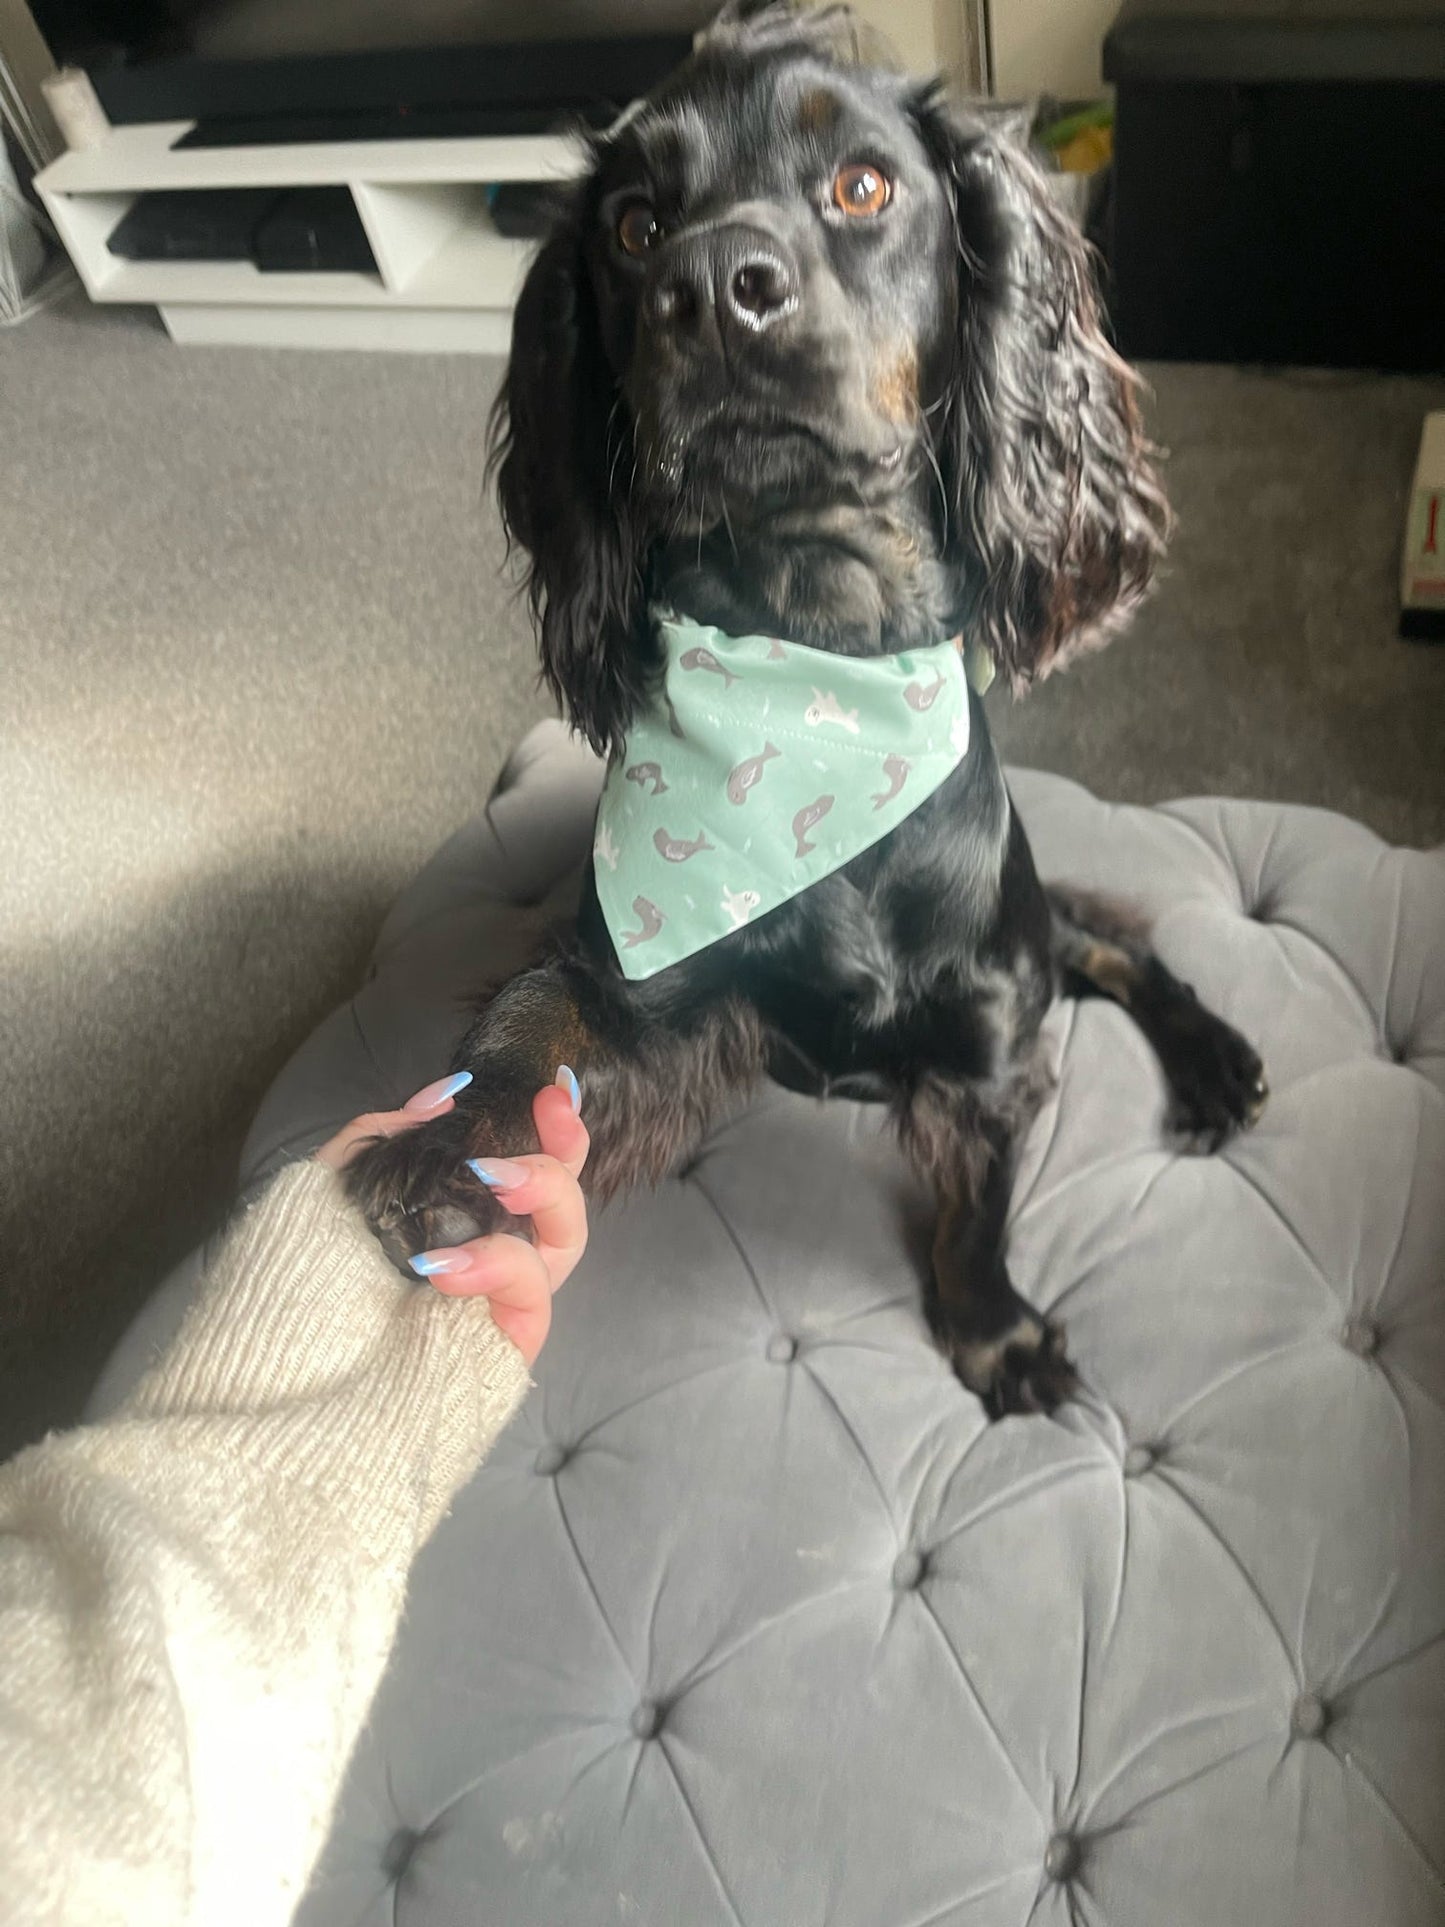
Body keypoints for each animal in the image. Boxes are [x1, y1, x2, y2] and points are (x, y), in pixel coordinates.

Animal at [350, 3, 1263, 1418]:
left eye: (863, 187)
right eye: (633, 227)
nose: (712, 283)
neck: (814, 673)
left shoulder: (988, 1032)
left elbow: (976, 1209)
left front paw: (992, 1331)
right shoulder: (650, 985)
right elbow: (537, 1016)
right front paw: (457, 1147)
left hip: (1029, 930)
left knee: (1110, 946)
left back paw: (1212, 1058)